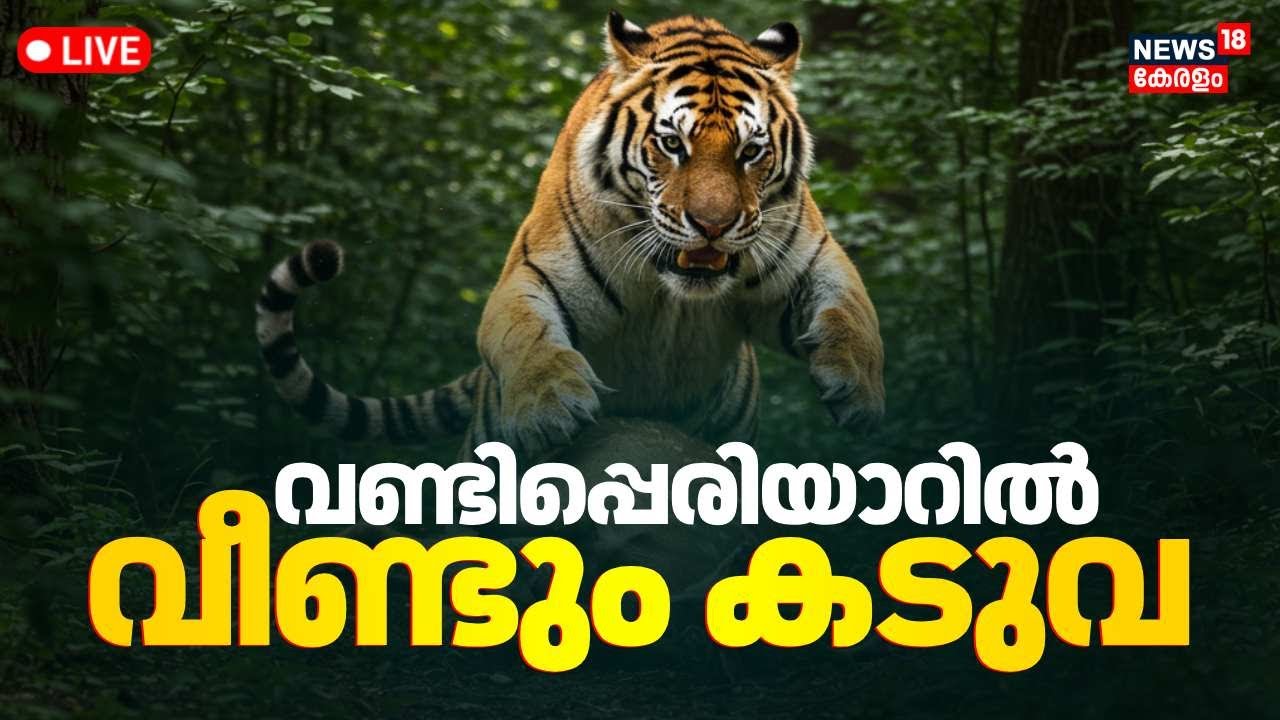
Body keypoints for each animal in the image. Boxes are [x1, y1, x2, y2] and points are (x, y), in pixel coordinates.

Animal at [255, 12, 885, 459]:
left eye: (750, 151)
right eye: (672, 143)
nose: (713, 225)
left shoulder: (811, 256)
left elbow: (854, 312)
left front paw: (858, 390)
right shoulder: (532, 273)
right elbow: (525, 332)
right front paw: (550, 407)